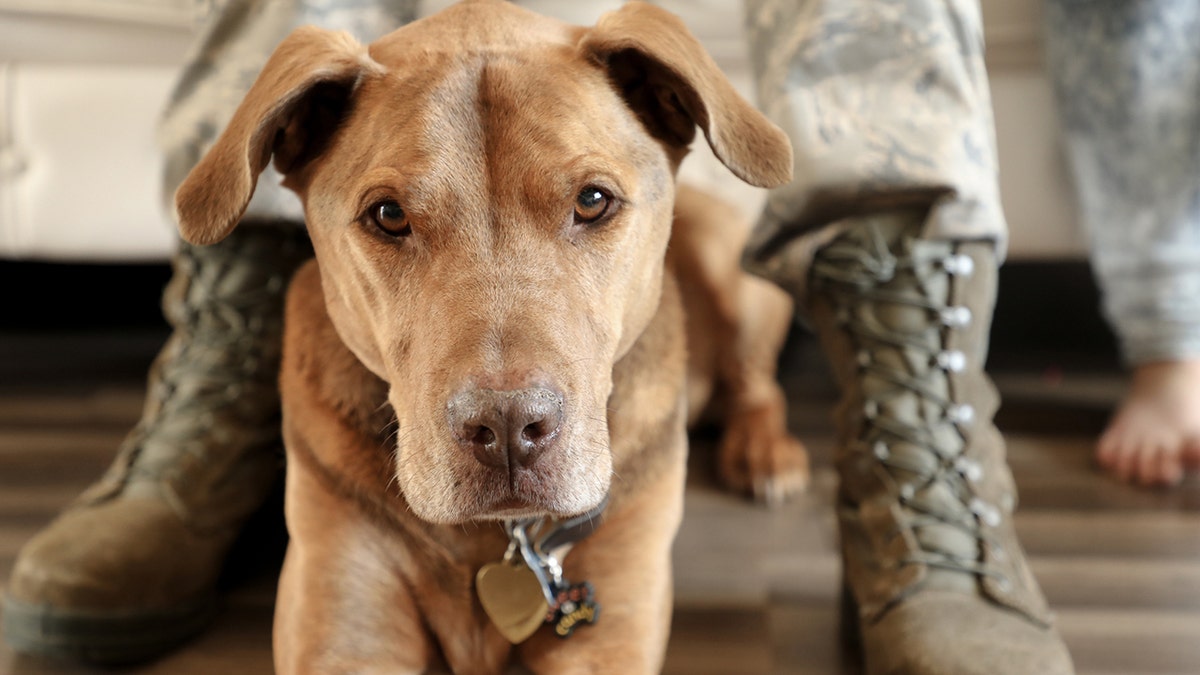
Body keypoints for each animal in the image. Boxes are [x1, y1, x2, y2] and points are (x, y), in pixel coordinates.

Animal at [175, 2, 806, 667]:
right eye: (388, 214)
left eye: (593, 200)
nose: (507, 429)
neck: (500, 541)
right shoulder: (345, 629)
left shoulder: (608, 636)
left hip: (731, 267)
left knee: (757, 380)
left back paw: (766, 455)